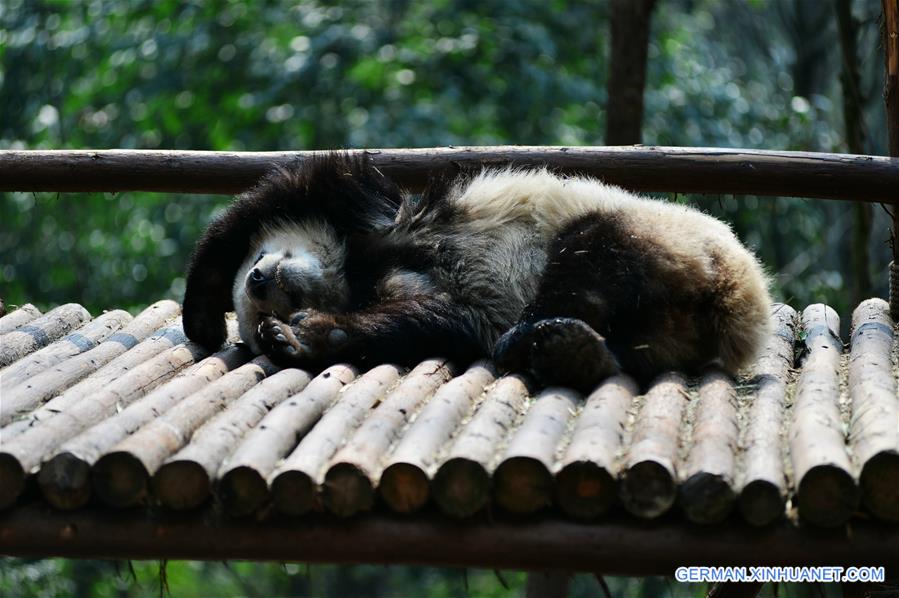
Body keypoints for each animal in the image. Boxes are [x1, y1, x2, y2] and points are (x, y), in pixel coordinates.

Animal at [183, 152, 772, 392]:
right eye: (266, 299)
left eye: (262, 274)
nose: (261, 280)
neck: (349, 273)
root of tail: (739, 301)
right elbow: (437, 316)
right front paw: (300, 335)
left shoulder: (364, 209)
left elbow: (262, 205)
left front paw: (217, 321)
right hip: (667, 327)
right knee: (626, 340)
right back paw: (572, 350)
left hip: (653, 231)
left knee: (586, 257)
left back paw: (532, 338)